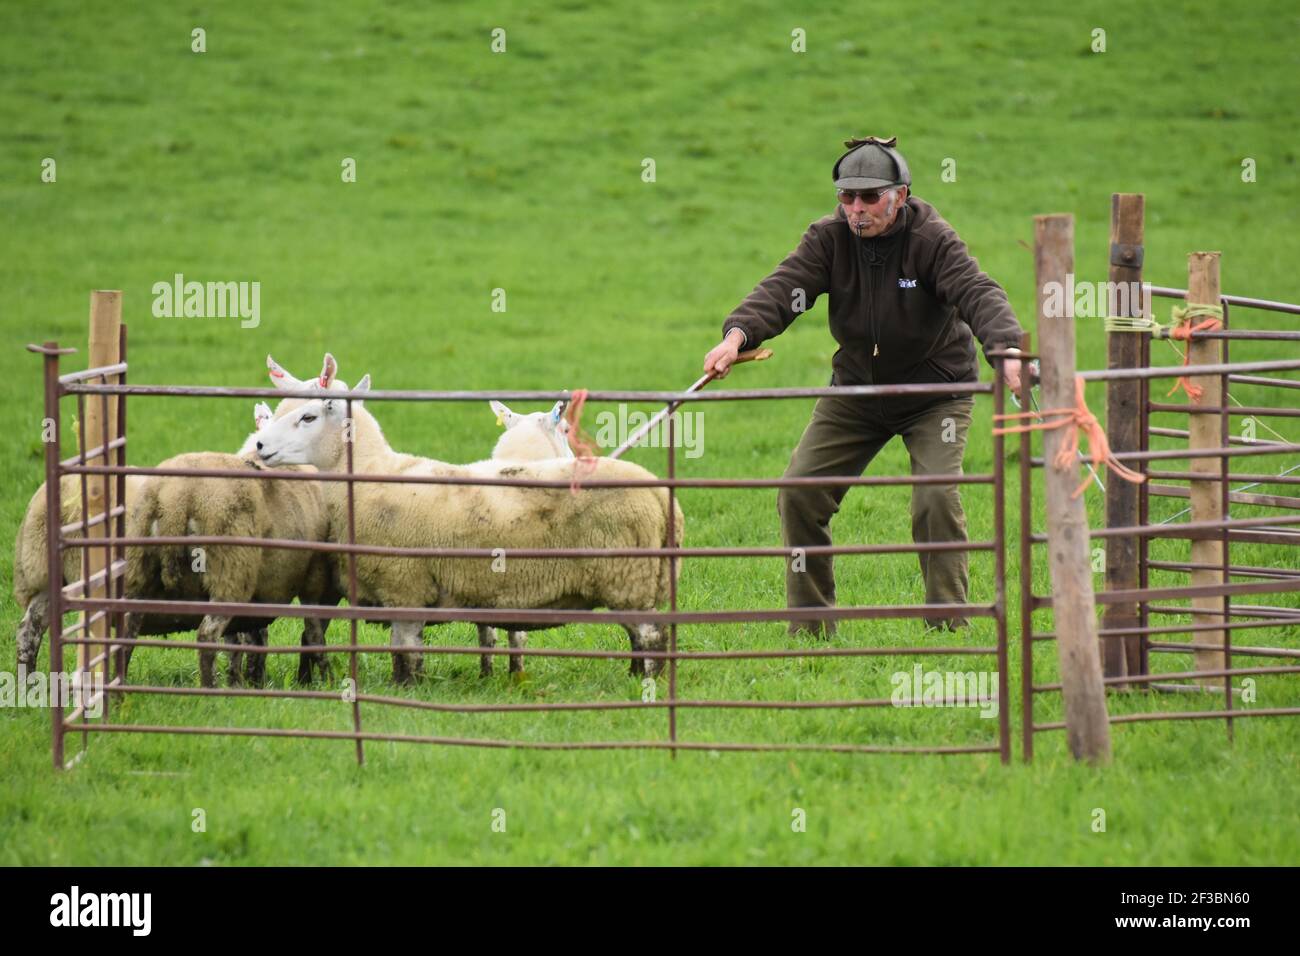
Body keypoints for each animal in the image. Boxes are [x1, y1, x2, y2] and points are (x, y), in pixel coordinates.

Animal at [248, 366, 686, 686]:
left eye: (308, 416)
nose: (259, 446)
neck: (371, 471)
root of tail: (662, 497)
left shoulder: (405, 585)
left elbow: (405, 654)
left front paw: (408, 691)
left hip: (628, 579)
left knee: (650, 637)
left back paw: (647, 683)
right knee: (640, 636)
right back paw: (633, 677)